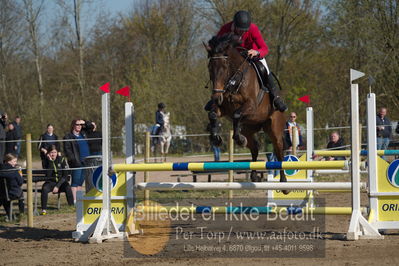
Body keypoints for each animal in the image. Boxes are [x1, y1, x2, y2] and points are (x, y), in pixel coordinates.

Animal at [205, 33, 290, 189]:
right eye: (210, 68)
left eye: (225, 67)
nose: (216, 97)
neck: (234, 80)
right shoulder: (223, 108)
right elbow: (213, 114)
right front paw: (216, 139)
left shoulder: (251, 106)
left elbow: (237, 114)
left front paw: (239, 139)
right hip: (249, 129)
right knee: (255, 148)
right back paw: (254, 175)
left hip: (274, 128)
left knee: (279, 150)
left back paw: (283, 183)